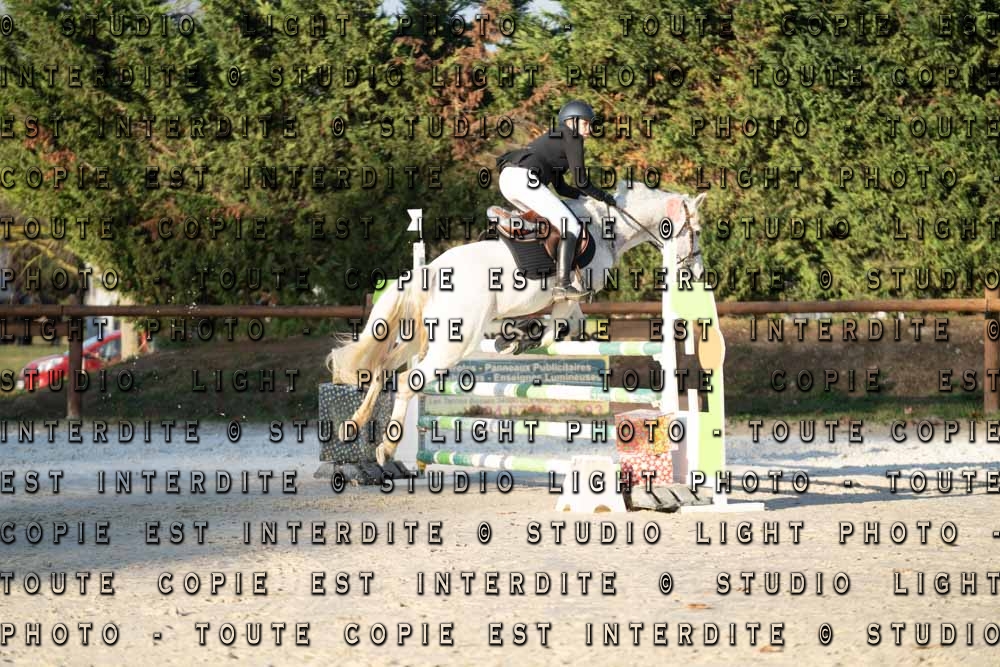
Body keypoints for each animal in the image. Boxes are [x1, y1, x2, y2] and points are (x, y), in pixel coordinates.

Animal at [325, 181, 708, 465]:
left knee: (381, 369)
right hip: (453, 343)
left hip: (417, 337)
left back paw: (353, 425)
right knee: (407, 381)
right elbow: (556, 330)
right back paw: (387, 448)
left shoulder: (568, 303)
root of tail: (431, 271)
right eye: (697, 232)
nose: (697, 272)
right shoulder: (568, 296)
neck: (607, 228)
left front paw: (514, 337)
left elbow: (567, 327)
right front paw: (520, 337)